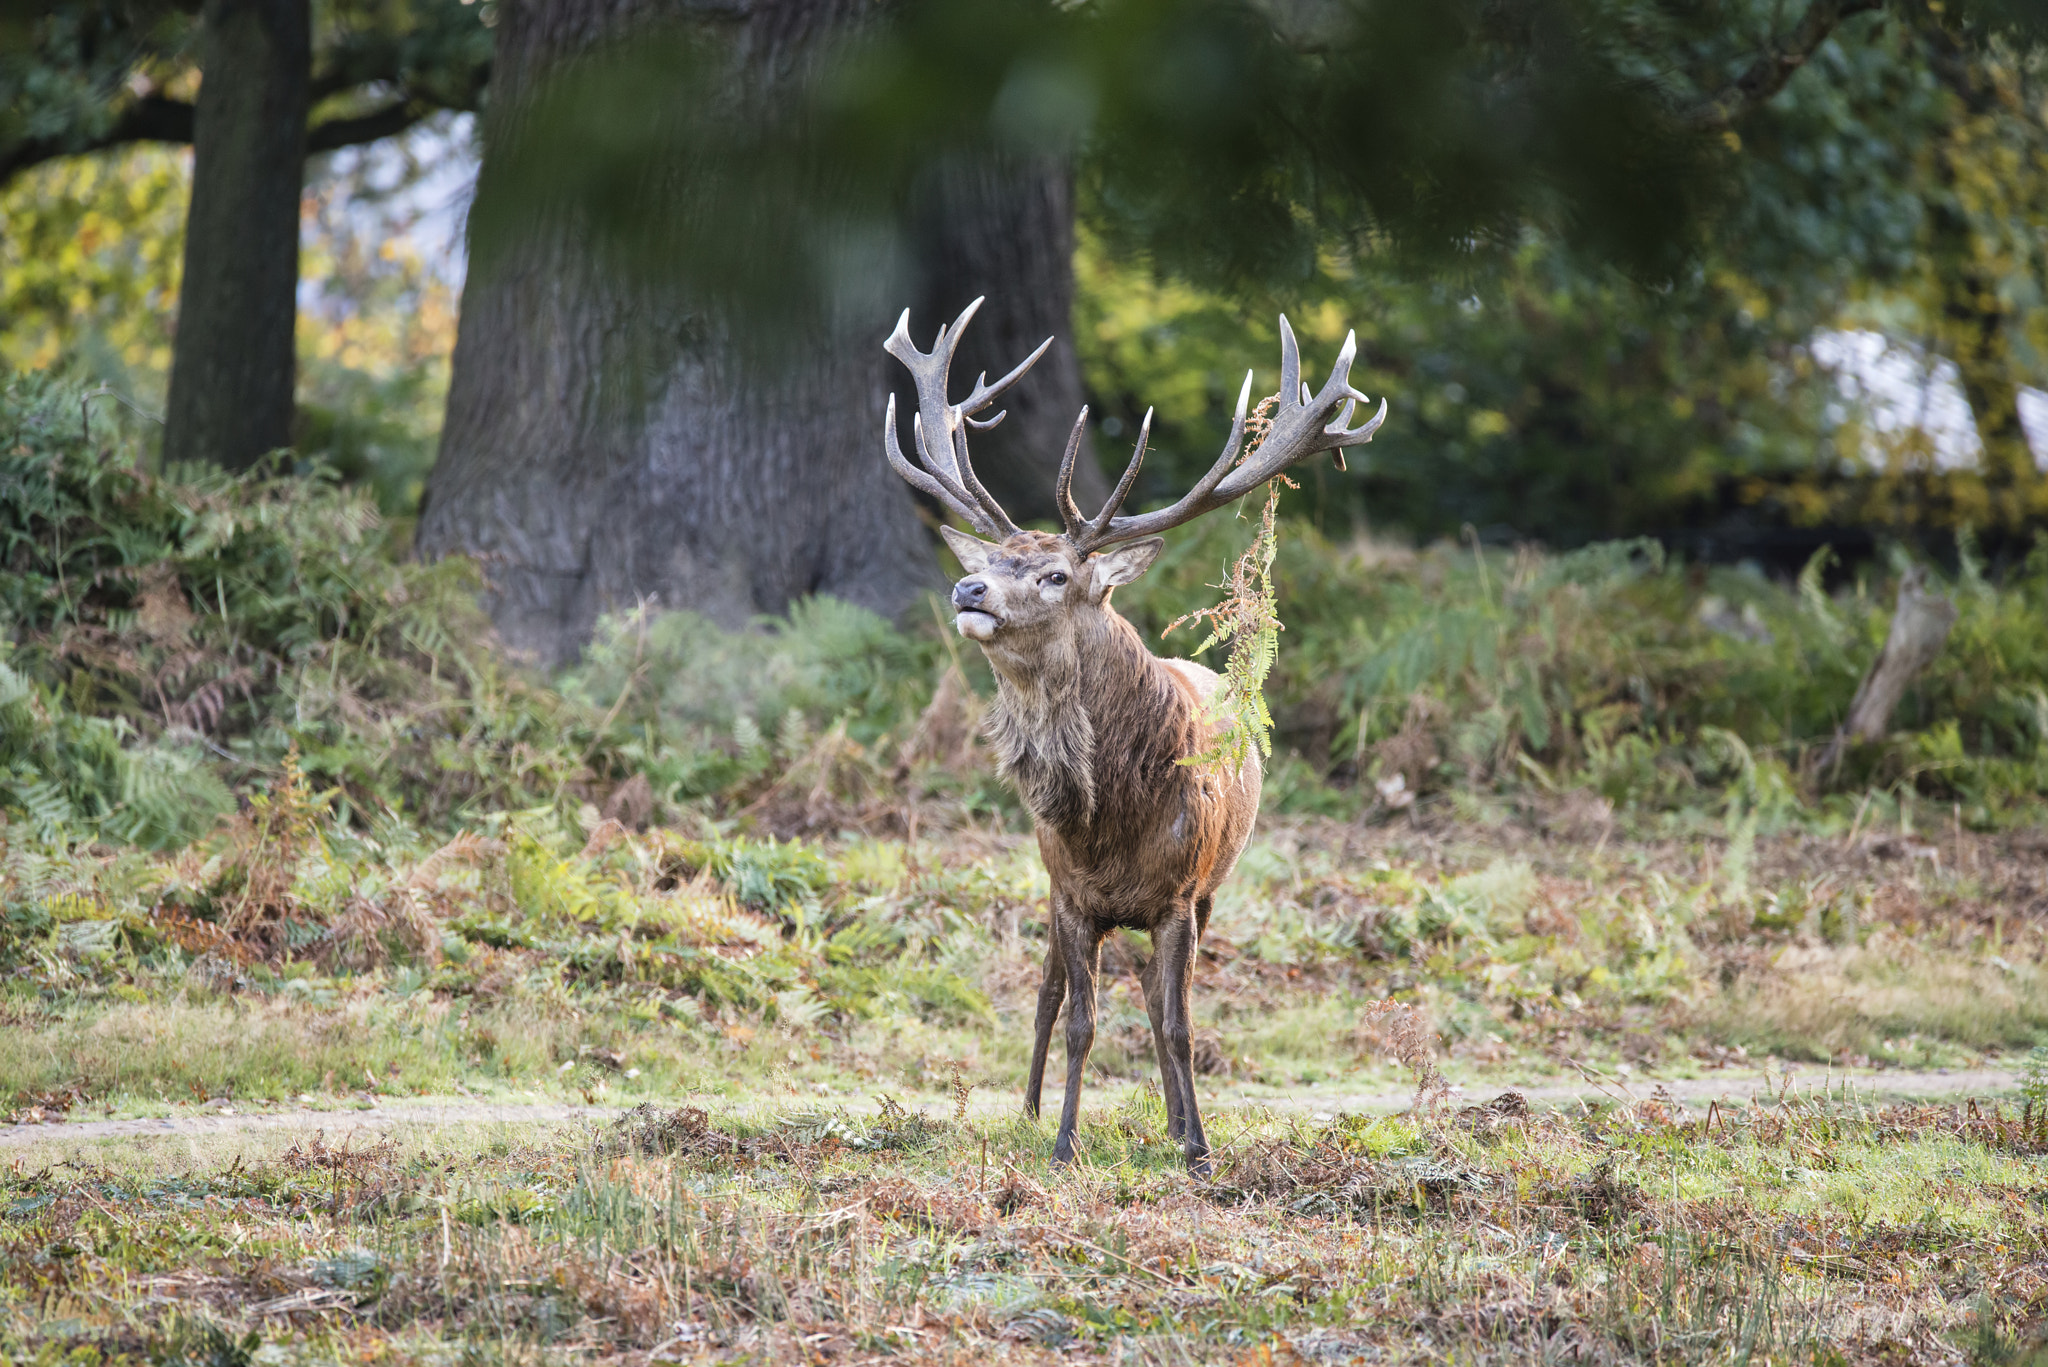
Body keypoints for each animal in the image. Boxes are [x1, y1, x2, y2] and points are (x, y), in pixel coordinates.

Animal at [880, 298, 1384, 1175]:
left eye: (1054, 574)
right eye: (999, 558)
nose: (968, 586)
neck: (1108, 821)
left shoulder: (1180, 894)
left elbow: (1176, 1019)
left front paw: (1199, 1147)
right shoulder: (1072, 893)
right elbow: (1080, 1019)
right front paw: (1061, 1142)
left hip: (1212, 887)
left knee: (1160, 997)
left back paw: (1178, 1123)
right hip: (1052, 888)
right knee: (1051, 992)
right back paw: (1032, 1107)